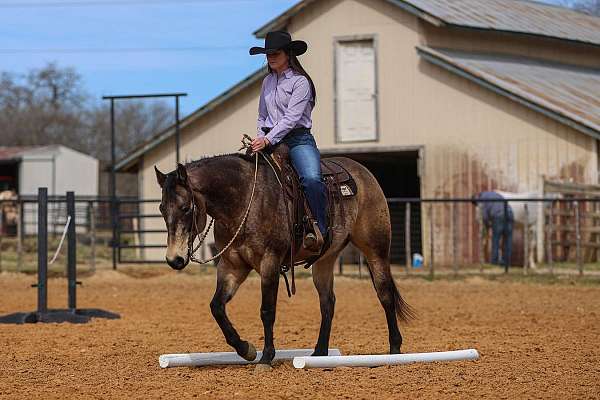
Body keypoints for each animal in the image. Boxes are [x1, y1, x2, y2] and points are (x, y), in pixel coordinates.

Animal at [156, 152, 412, 370]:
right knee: (327, 302)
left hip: (376, 250)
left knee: (385, 294)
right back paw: (319, 354)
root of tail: (363, 171)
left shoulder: (270, 261)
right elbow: (217, 306)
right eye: (161, 208)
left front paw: (266, 358)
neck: (244, 200)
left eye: (185, 207)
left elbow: (267, 310)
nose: (174, 259)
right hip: (325, 259)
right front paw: (246, 349)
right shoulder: (232, 266)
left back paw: (394, 350)